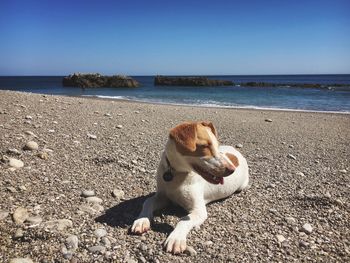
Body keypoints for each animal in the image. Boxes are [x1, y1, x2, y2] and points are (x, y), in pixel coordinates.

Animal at [131, 122, 249, 256]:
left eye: (216, 145)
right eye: (204, 146)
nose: (232, 169)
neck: (177, 174)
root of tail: (237, 152)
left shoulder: (199, 210)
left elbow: (183, 220)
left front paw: (176, 238)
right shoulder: (162, 196)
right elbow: (148, 201)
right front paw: (142, 220)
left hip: (243, 185)